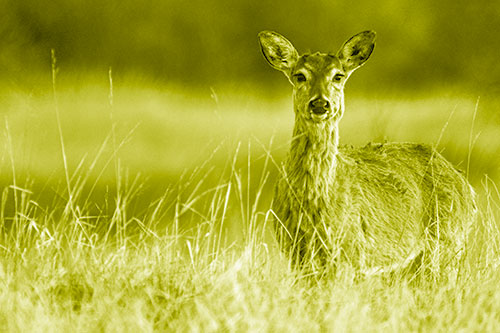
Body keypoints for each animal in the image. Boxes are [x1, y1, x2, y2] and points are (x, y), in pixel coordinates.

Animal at [258, 29, 476, 278]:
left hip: (447, 243)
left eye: (338, 76)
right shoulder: (295, 253)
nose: (320, 104)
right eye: (300, 76)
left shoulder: (351, 253)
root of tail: (466, 186)